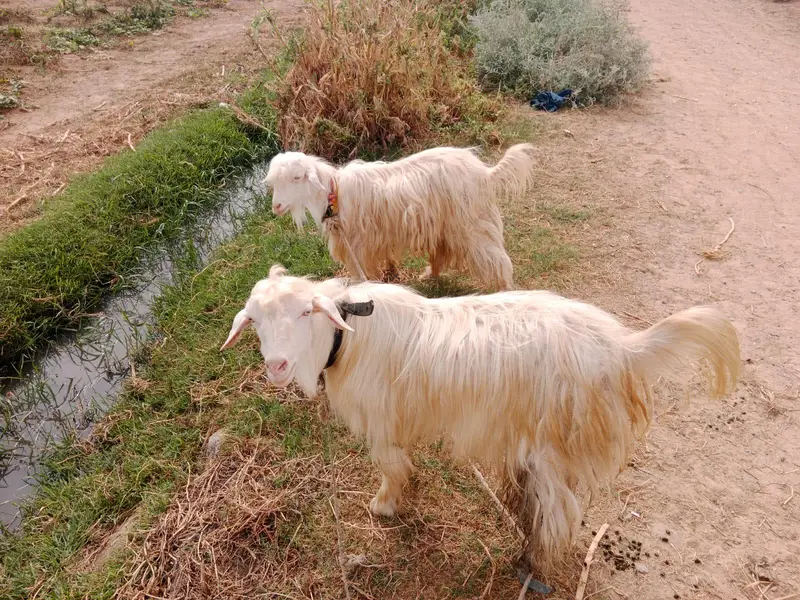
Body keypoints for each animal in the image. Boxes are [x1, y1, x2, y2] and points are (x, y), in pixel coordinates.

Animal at [220, 265, 740, 569]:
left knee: (560, 513)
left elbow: (391, 466)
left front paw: (385, 505)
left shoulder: (382, 422)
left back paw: (531, 560)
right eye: (254, 320)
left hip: (552, 441)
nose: (276, 366)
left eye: (304, 312)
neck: (347, 337)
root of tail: (624, 348)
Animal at [263, 144, 538, 290]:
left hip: (473, 225)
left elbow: (363, 275)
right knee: (441, 253)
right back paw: (428, 275)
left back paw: (504, 288)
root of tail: (487, 173)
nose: (276, 206)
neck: (334, 193)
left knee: (497, 260)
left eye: (296, 178)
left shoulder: (358, 247)